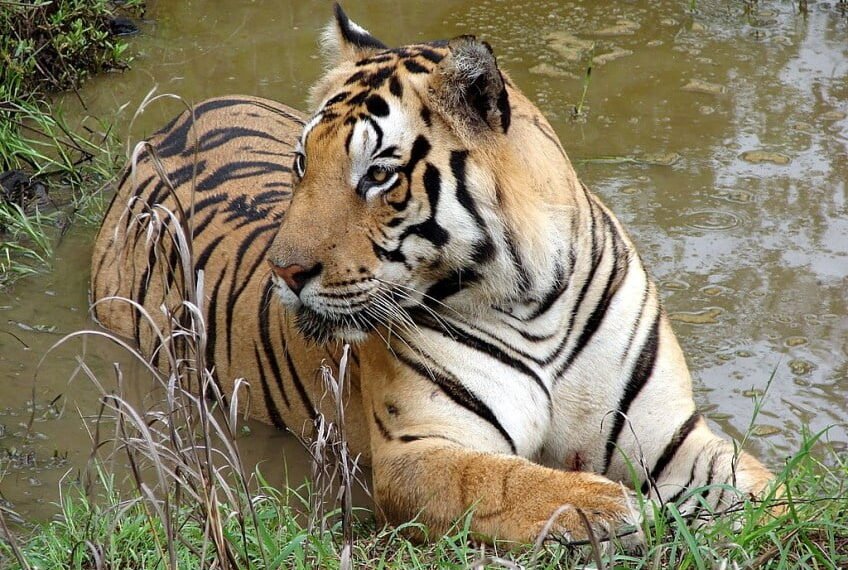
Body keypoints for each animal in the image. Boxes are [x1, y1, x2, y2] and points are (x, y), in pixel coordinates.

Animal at [91, 3, 775, 544]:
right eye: (303, 165)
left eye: (378, 174)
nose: (284, 271)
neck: (536, 300)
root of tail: (179, 115)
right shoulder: (419, 450)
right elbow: (506, 481)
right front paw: (610, 506)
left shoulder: (669, 433)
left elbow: (755, 485)